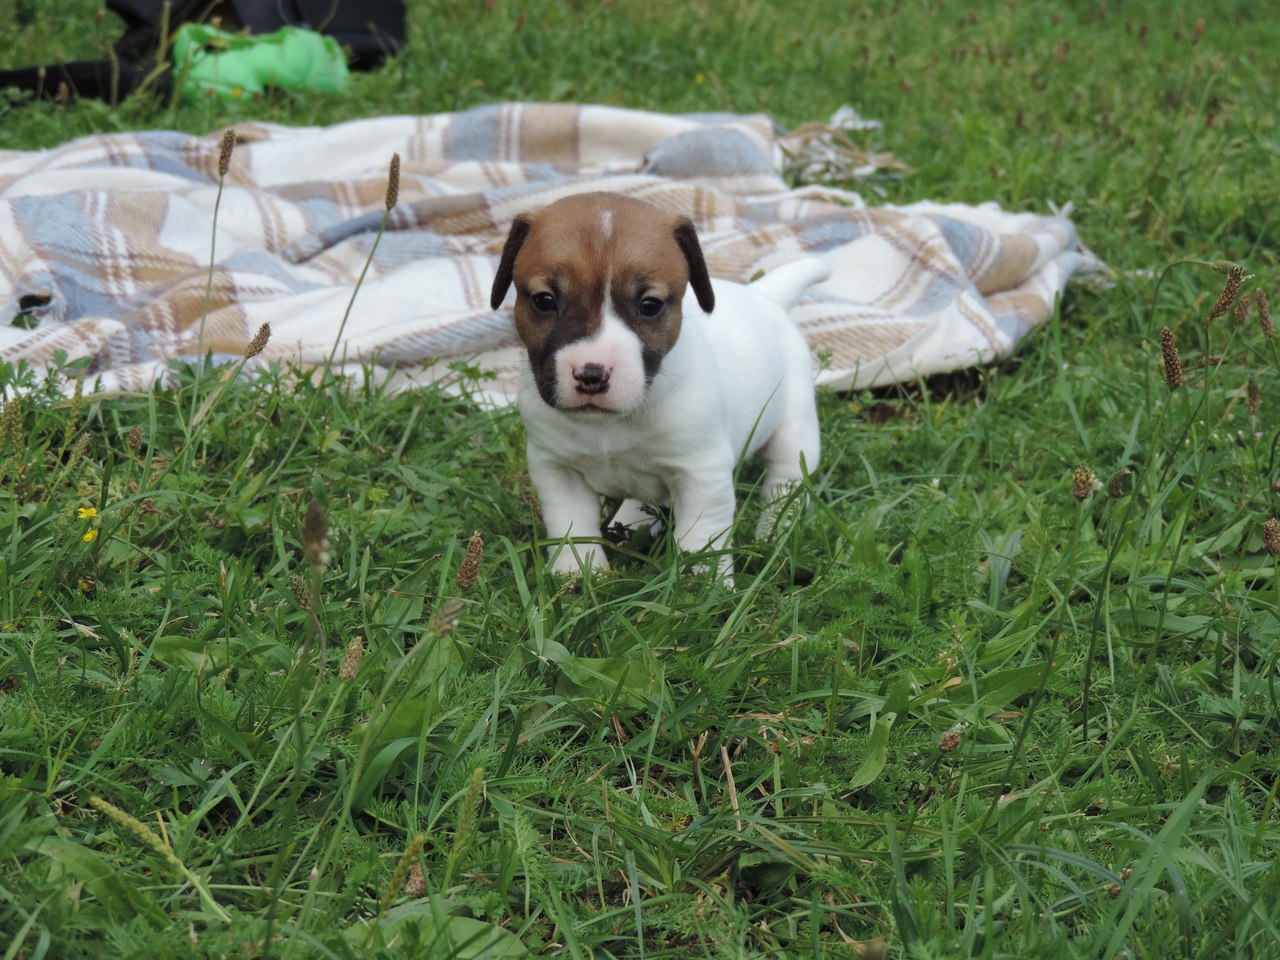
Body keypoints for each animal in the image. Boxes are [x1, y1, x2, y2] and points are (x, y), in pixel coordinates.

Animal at [488, 192, 829, 576]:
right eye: (544, 301)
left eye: (649, 305)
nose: (592, 374)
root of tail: (764, 295)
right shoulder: (557, 469)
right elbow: (571, 526)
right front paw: (577, 575)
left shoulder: (702, 472)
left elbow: (700, 537)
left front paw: (703, 583)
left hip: (795, 430)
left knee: (786, 481)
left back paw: (775, 532)